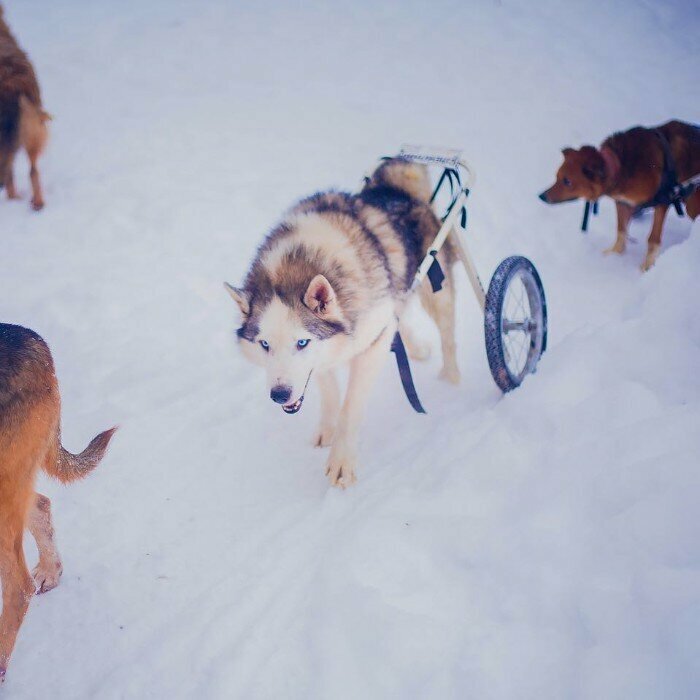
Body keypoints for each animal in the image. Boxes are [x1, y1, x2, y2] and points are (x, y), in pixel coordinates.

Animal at [227, 159, 462, 486]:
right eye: (264, 344)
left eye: (301, 342)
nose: (279, 395)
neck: (298, 262)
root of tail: (396, 188)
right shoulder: (326, 355)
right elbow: (329, 392)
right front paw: (328, 428)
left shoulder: (371, 345)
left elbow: (350, 408)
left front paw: (341, 461)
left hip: (436, 291)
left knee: (448, 337)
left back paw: (451, 380)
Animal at [540, 120, 700, 270]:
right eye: (557, 177)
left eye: (567, 181)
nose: (542, 196)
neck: (621, 165)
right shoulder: (622, 202)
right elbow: (621, 230)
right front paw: (615, 253)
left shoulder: (663, 202)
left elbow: (653, 238)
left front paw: (647, 265)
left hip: (692, 206)